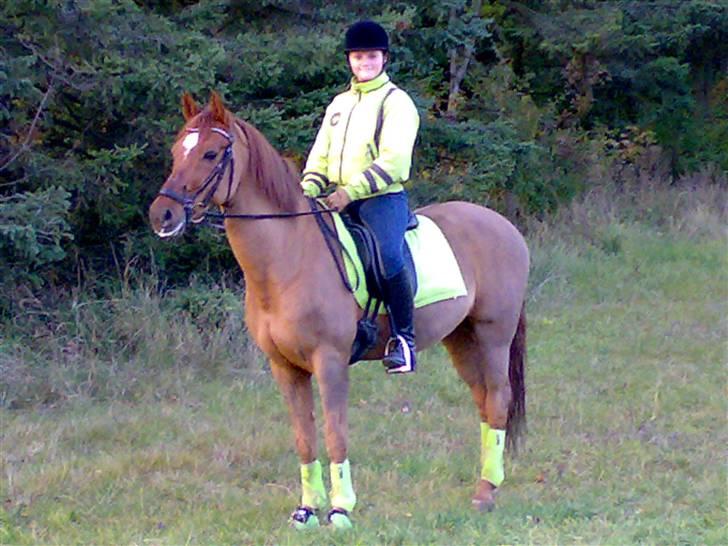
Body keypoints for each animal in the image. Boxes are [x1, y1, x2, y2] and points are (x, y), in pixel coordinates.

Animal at [149, 92, 529, 529]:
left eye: (211, 153)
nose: (162, 214)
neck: (290, 258)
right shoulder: (285, 368)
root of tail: (505, 226)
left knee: (498, 398)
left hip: (493, 335)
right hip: (461, 339)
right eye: (178, 151)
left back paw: (486, 493)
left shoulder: (329, 362)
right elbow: (304, 437)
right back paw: (485, 484)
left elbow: (335, 433)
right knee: (483, 400)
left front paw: (341, 509)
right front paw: (306, 510)